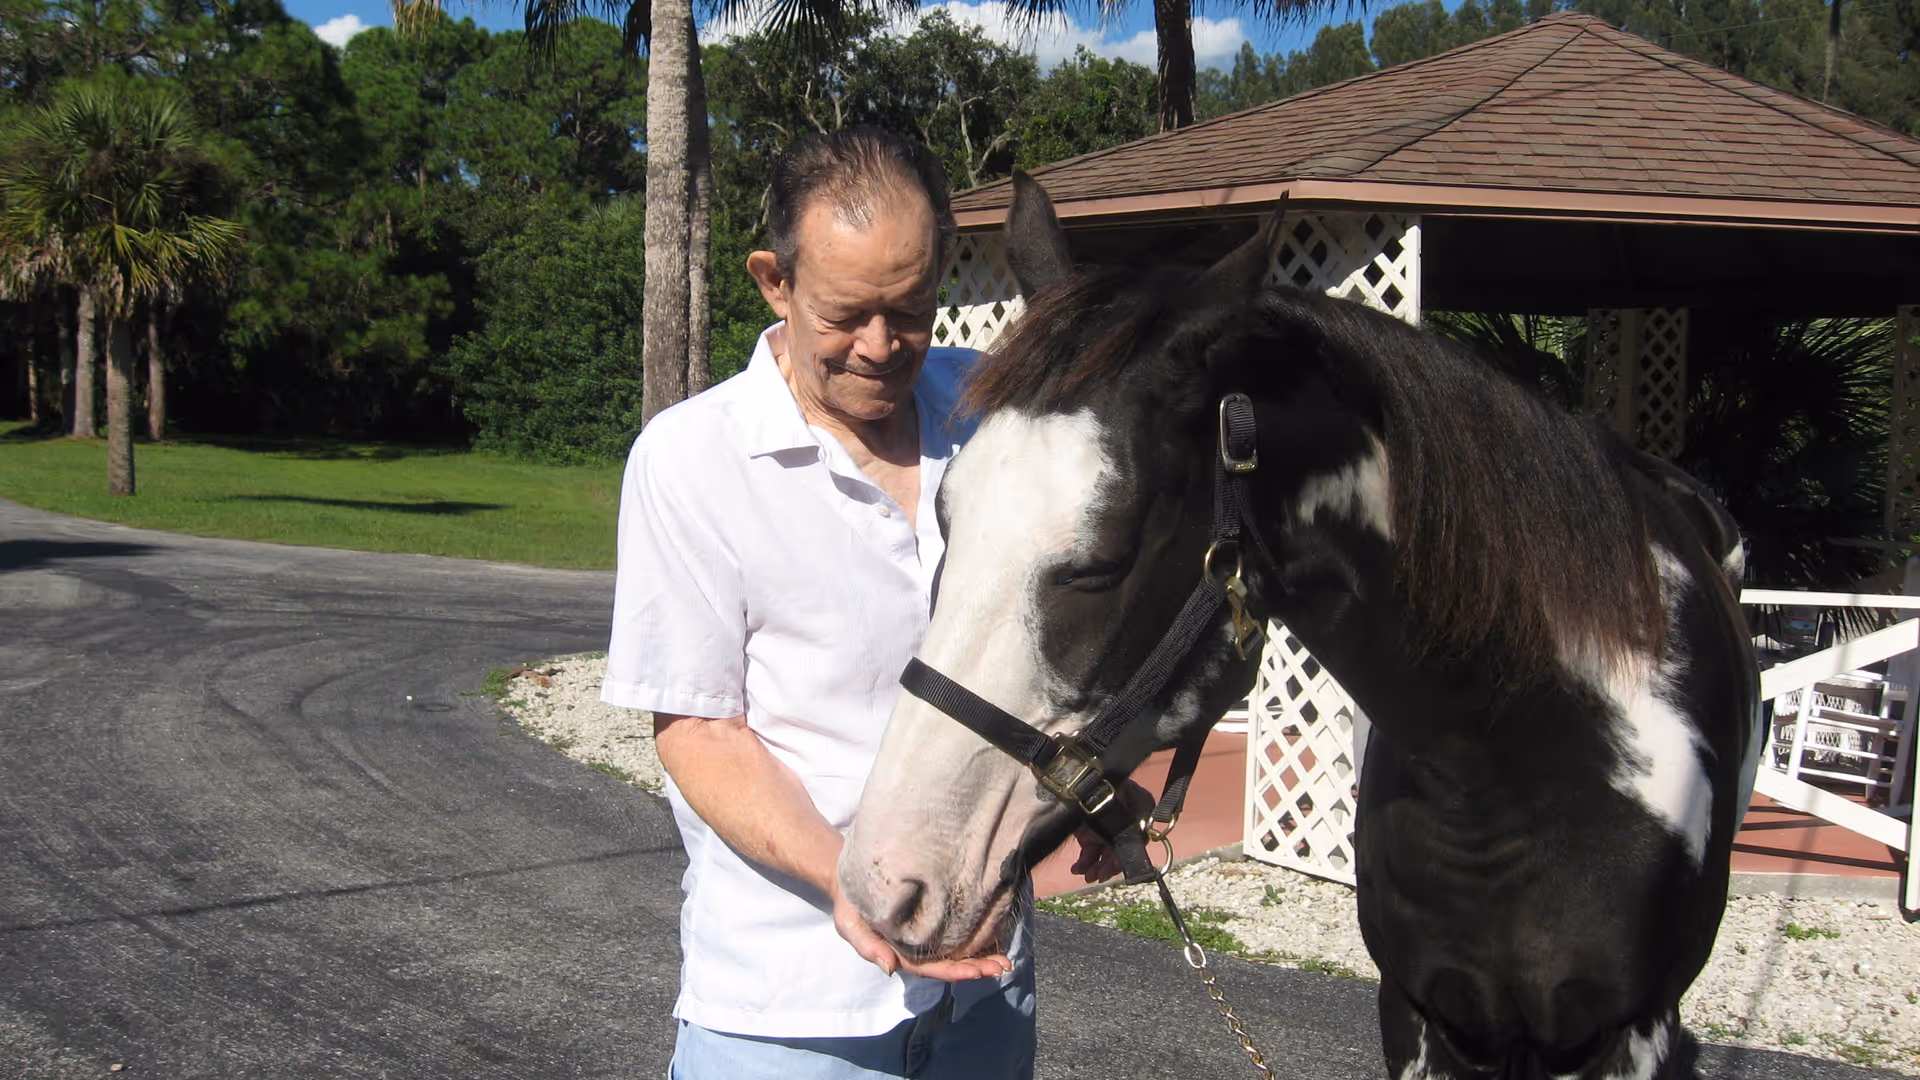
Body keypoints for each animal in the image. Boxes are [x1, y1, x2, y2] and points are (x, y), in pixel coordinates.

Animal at [839, 172, 1762, 1080]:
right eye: (949, 515)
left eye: (1103, 560)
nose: (886, 882)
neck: (1519, 767)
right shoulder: (1417, 1011)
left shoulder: (1626, 1032)